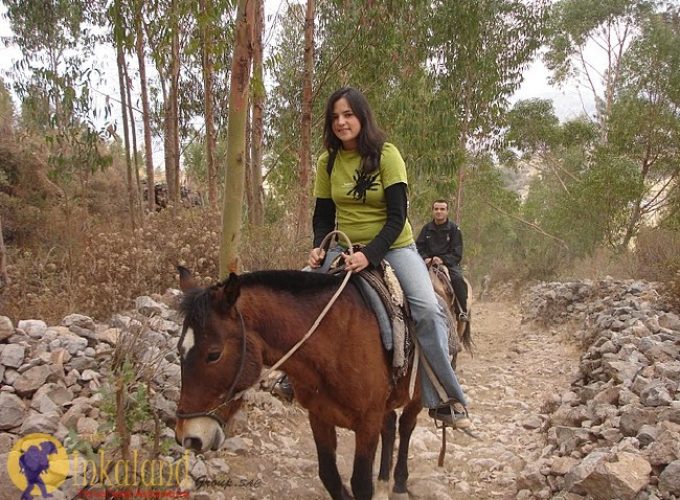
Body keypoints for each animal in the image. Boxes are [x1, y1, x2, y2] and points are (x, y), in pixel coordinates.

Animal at [175, 270, 430, 500]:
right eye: (180, 350)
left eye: (214, 354)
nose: (187, 437)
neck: (336, 340)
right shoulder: (319, 416)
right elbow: (329, 475)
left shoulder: (367, 422)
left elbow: (360, 484)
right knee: (390, 425)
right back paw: (384, 484)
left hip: (416, 397)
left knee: (406, 426)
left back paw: (399, 485)